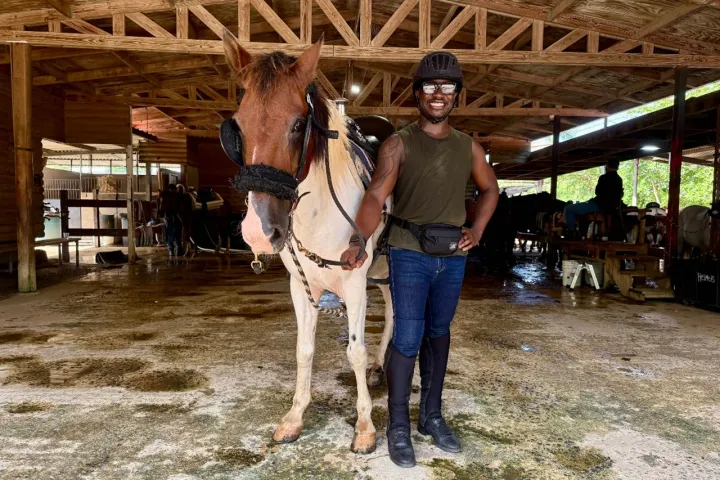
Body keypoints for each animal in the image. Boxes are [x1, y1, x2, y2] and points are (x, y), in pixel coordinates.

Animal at [221, 32, 393, 454]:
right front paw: (295, 416)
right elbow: (304, 350)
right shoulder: (301, 287)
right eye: (237, 127)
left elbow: (355, 350)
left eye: (299, 124)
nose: (258, 232)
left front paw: (365, 427)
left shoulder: (354, 281)